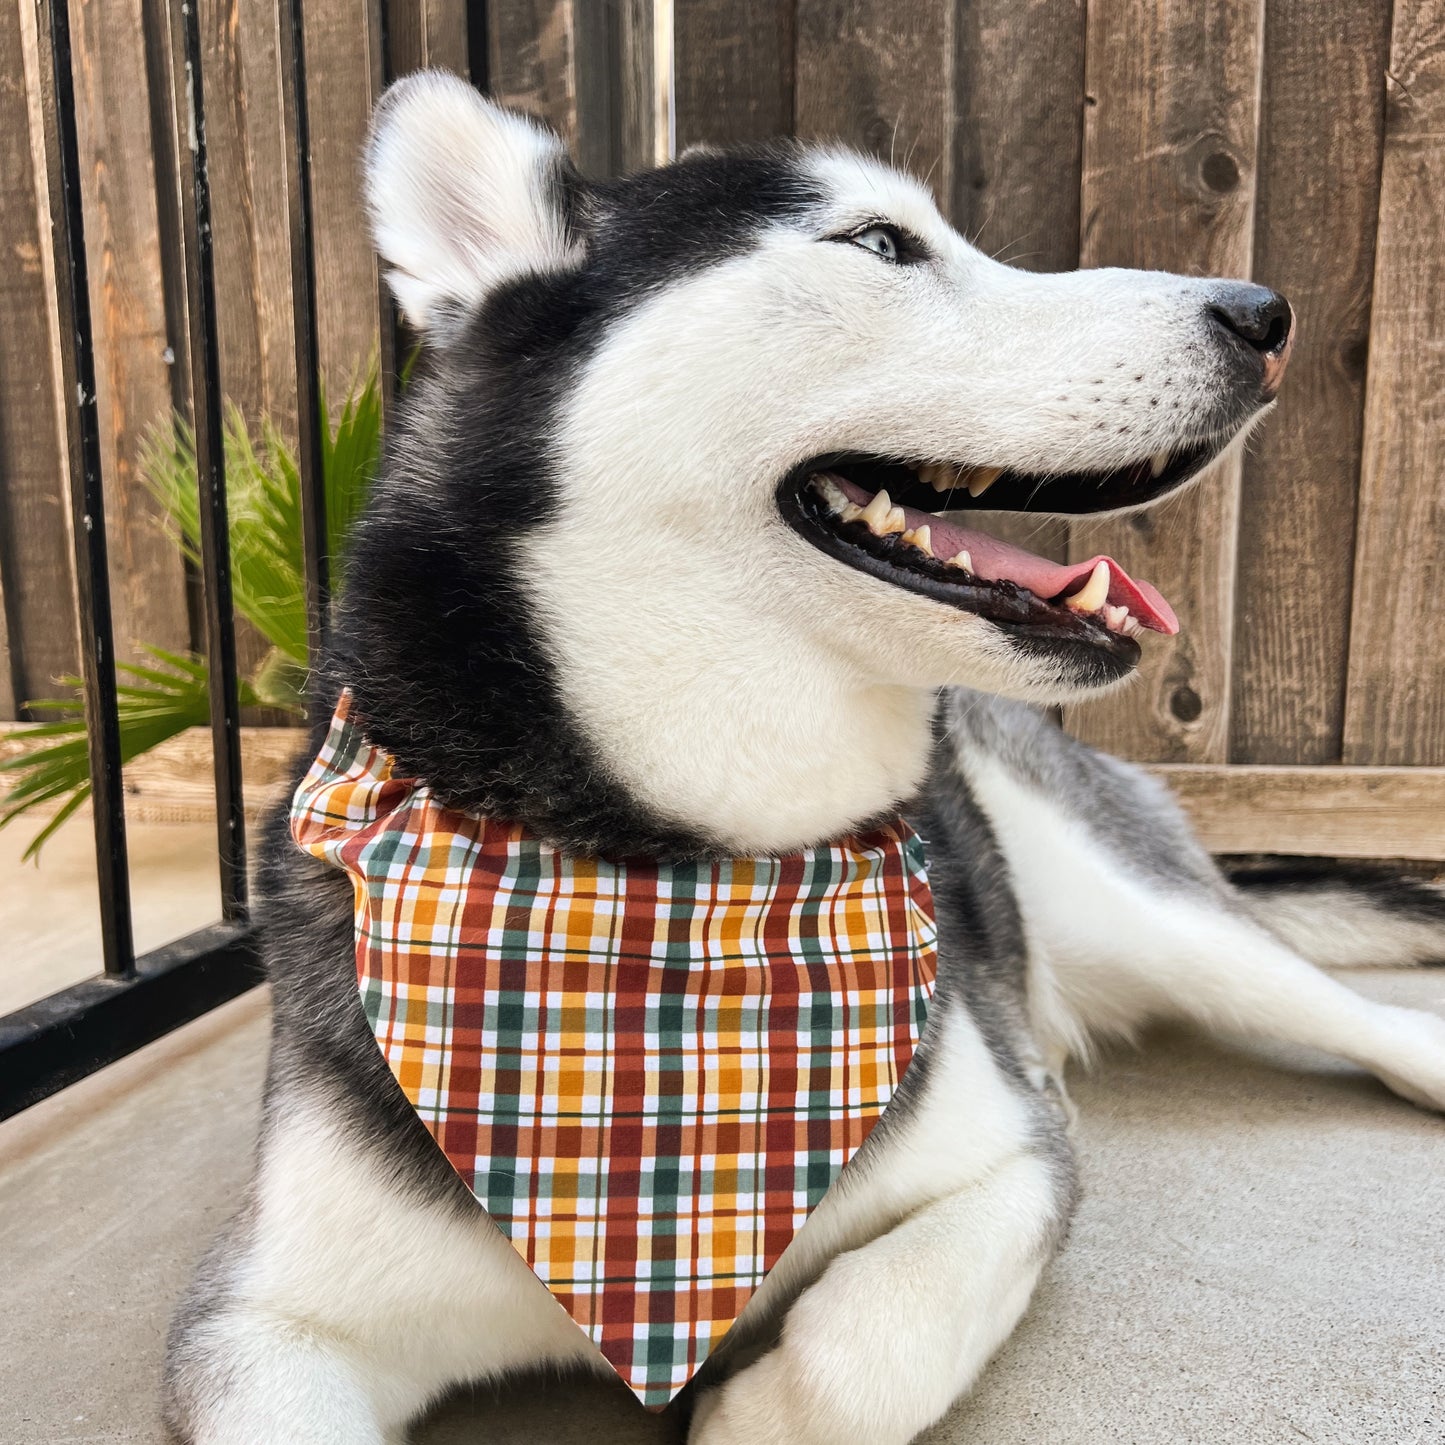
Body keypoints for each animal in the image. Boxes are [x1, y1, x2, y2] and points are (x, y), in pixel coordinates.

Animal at [161, 79, 1445, 1445]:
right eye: (879, 242)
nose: (1263, 315)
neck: (676, 867)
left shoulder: (1014, 1156)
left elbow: (862, 1343)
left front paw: (749, 1409)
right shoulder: (257, 1319)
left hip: (1135, 908)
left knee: (1333, 1001)